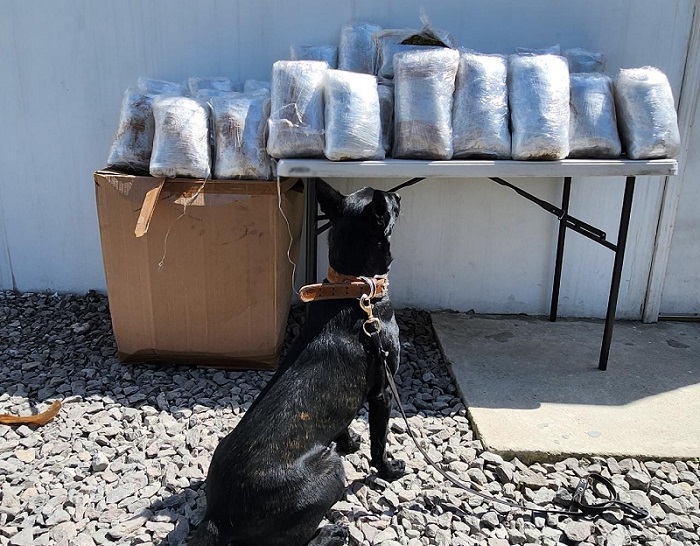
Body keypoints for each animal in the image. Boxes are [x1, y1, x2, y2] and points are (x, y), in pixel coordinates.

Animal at [190, 181, 404, 540]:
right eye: (389, 202)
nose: (399, 195)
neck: (354, 291)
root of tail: (217, 517)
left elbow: (343, 425)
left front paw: (349, 441)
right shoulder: (383, 394)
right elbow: (379, 442)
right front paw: (389, 469)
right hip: (330, 471)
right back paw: (333, 534)